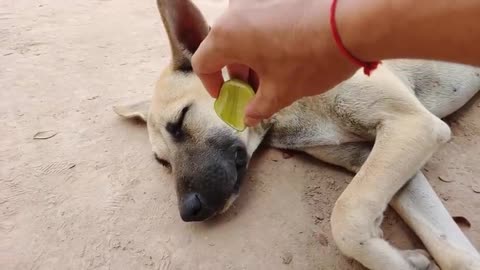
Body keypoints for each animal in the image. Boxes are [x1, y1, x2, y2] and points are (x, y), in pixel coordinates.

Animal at [113, 0, 480, 270]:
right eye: (162, 162)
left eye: (181, 121)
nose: (188, 211)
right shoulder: (381, 154)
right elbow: (453, 250)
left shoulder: (411, 125)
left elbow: (346, 218)